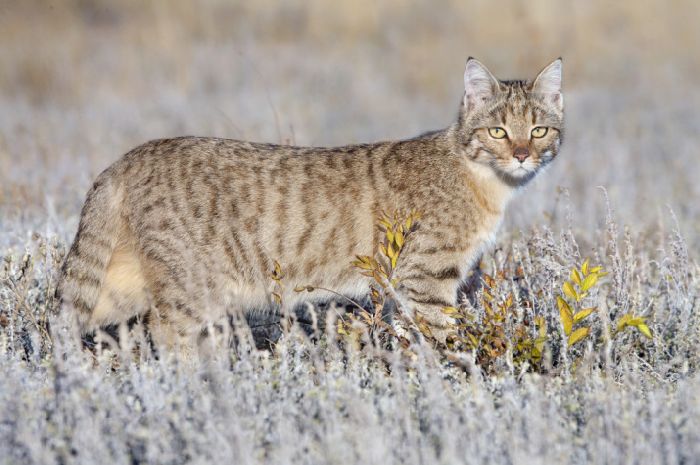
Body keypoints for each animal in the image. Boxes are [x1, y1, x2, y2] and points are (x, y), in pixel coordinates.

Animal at [58, 59, 564, 356]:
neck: (480, 178)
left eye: (539, 130)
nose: (522, 154)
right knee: (165, 334)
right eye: (498, 131)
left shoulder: (410, 285)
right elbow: (443, 337)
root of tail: (127, 158)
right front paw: (456, 375)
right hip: (191, 286)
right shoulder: (427, 278)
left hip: (125, 279)